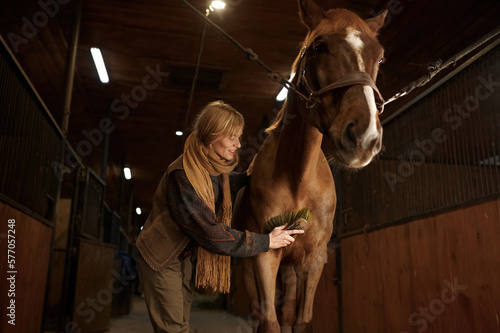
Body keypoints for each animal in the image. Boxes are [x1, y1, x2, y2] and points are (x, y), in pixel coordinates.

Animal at [232, 1, 388, 330]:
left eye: (380, 56)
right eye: (319, 46)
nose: (364, 137)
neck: (299, 180)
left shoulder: (313, 260)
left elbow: (300, 320)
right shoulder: (266, 256)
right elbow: (270, 321)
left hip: (291, 268)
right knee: (258, 312)